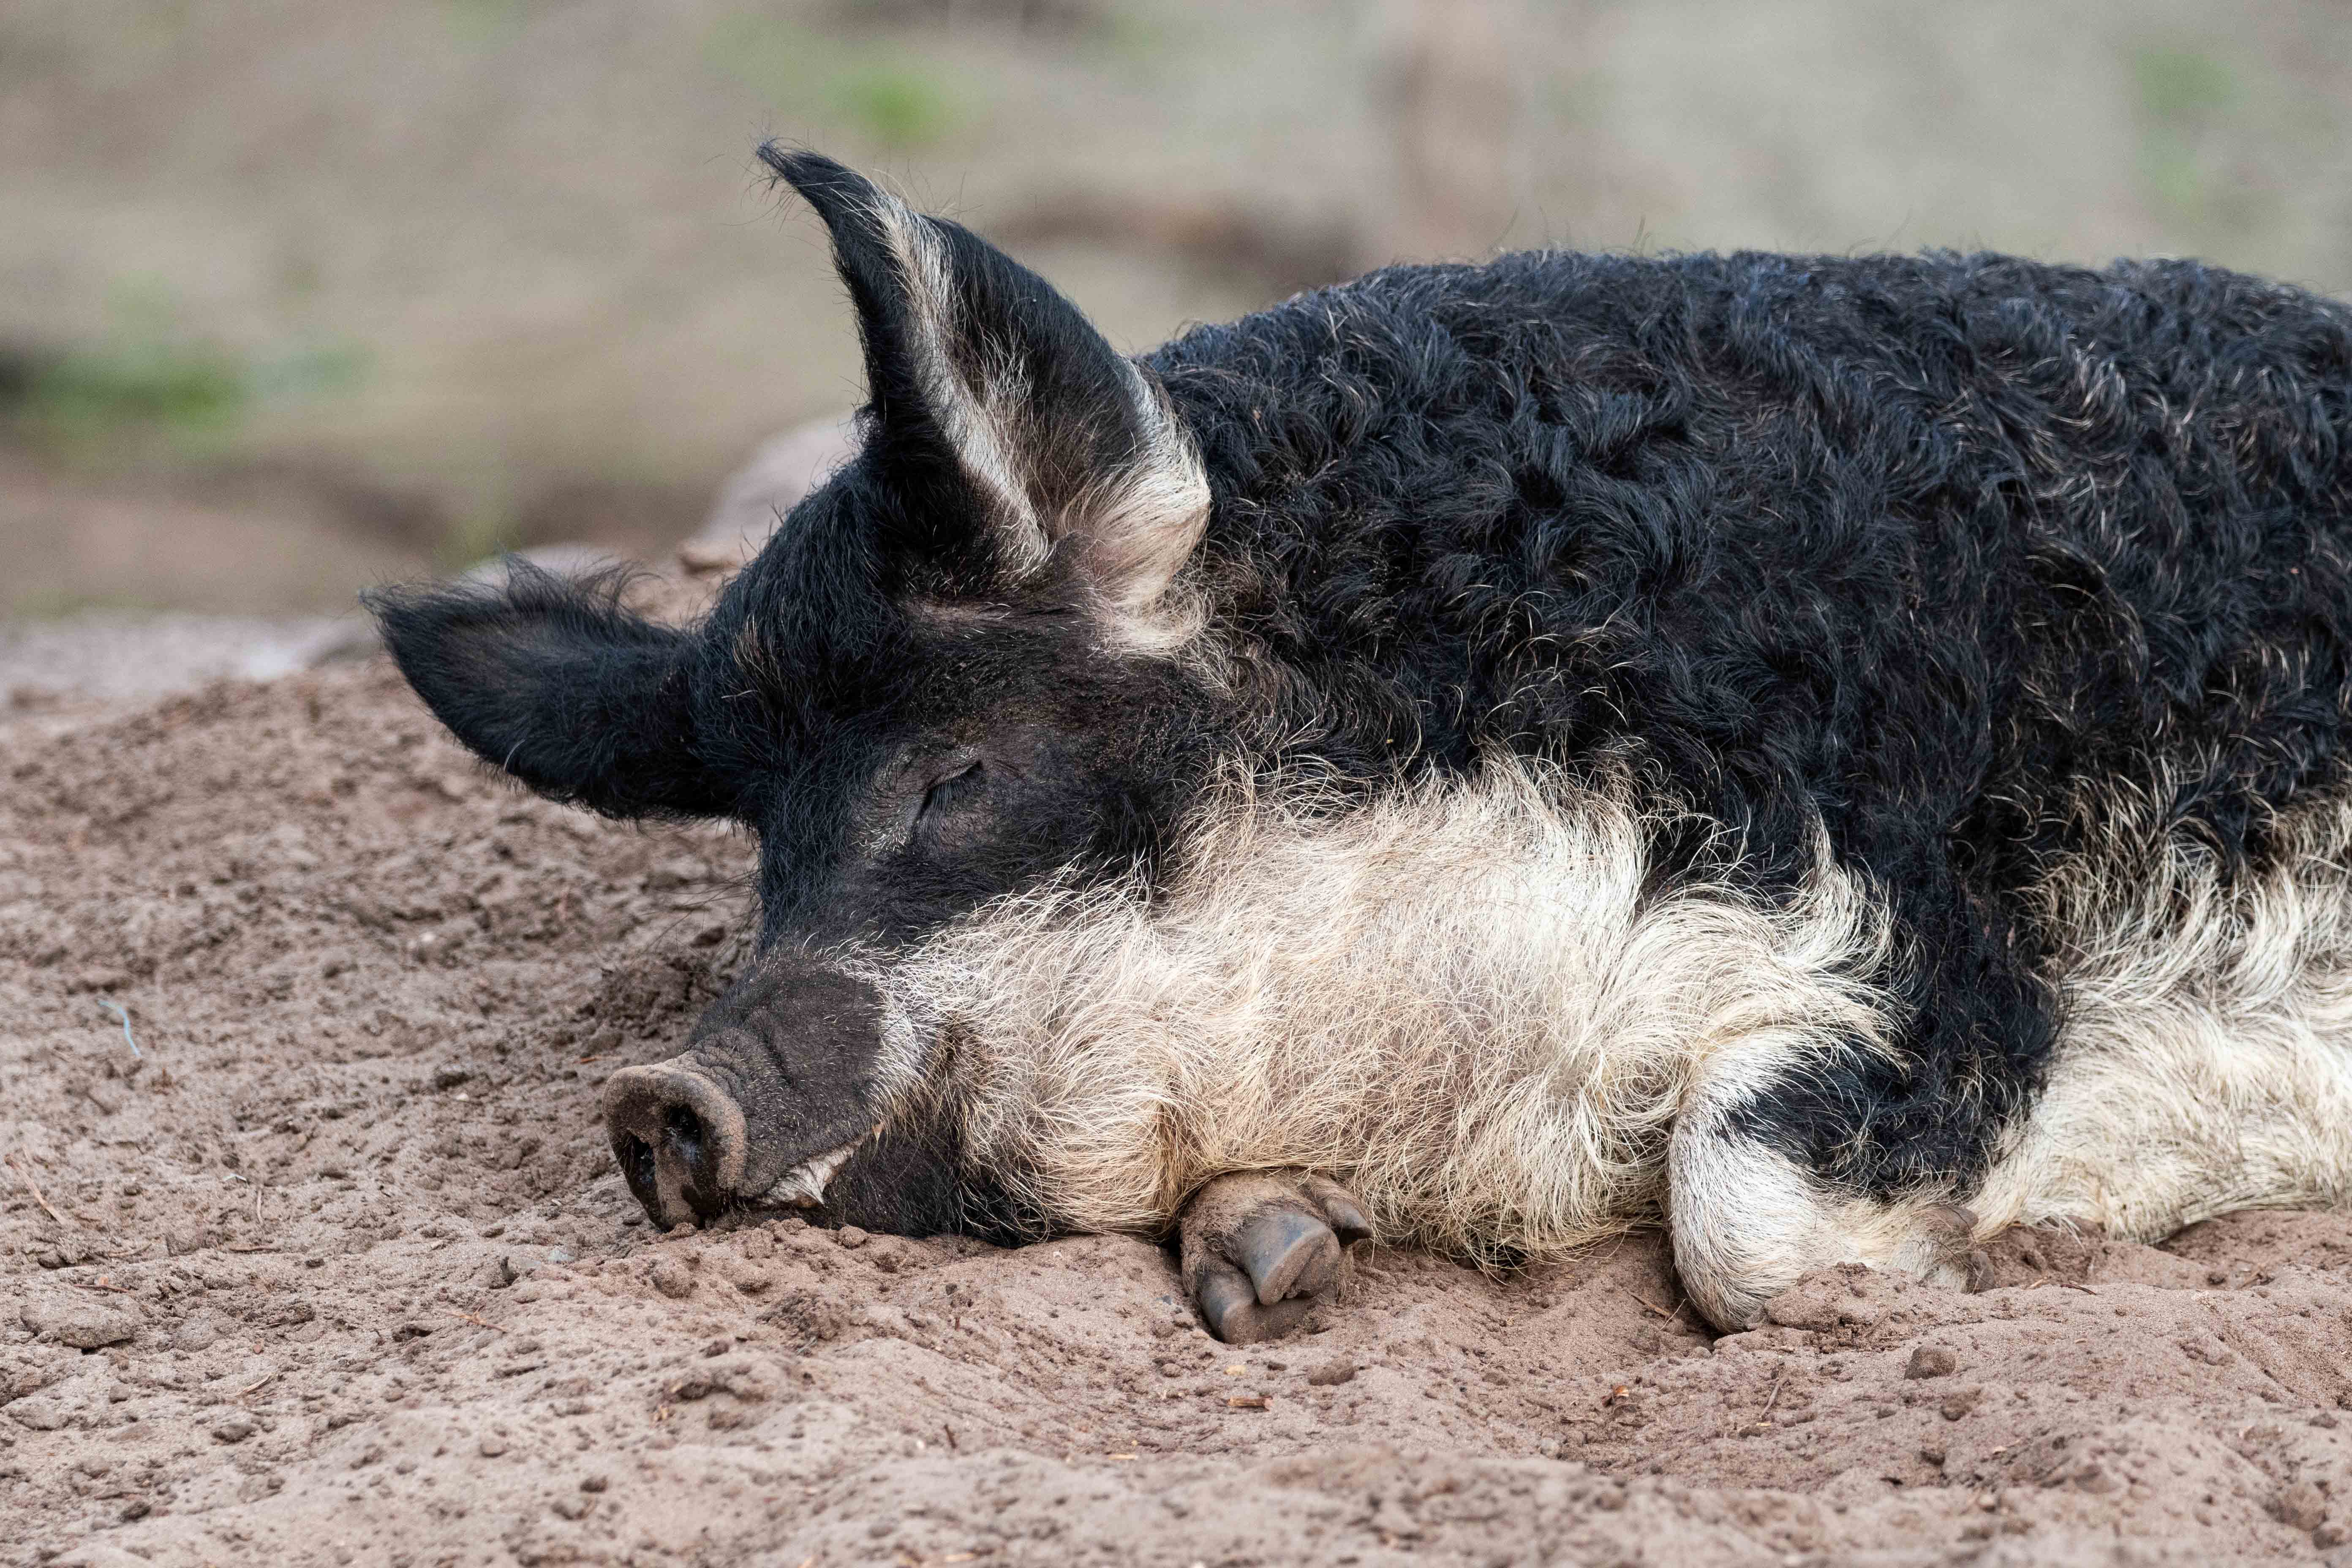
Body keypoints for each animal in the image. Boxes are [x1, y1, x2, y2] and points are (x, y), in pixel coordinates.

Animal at [369, 146, 2352, 1342]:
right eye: (754, 845)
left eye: (954, 773)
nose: (660, 1097)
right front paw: (1265, 1266)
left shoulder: (1918, 918)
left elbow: (1747, 1223)